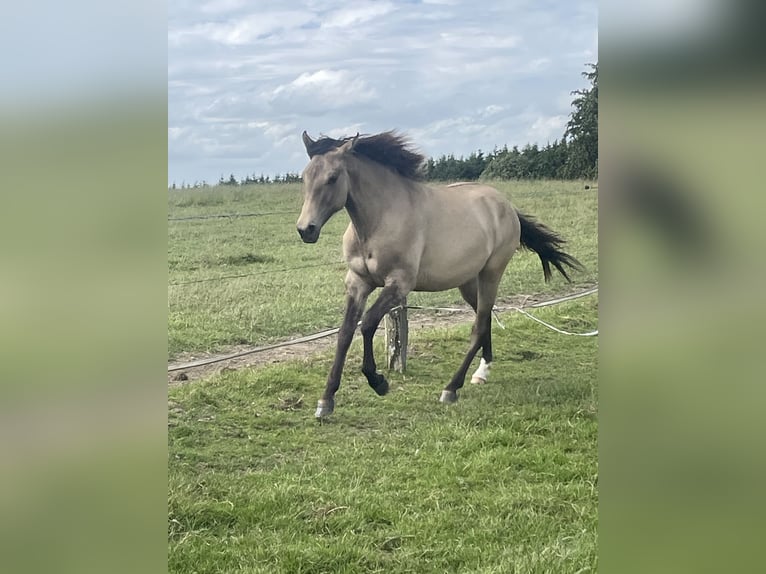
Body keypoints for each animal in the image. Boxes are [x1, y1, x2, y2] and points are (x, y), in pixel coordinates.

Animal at [296, 130, 582, 418]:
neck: (382, 218)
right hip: (468, 281)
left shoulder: (399, 284)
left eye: (333, 177)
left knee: (479, 326)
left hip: (492, 273)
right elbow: (345, 333)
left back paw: (451, 388)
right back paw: (481, 373)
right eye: (305, 176)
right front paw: (326, 400)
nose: (306, 230)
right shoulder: (358, 282)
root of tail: (507, 206)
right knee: (486, 317)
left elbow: (366, 324)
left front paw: (378, 382)